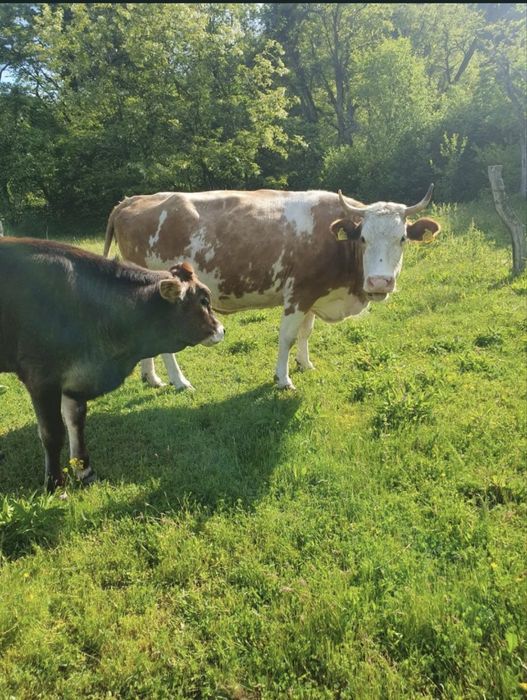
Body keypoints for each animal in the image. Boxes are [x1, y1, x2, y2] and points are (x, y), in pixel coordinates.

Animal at [0, 237, 224, 491]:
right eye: (204, 301)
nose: (221, 330)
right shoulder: (41, 378)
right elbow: (53, 433)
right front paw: (55, 483)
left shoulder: (76, 377)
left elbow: (76, 421)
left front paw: (85, 470)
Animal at [103, 187, 440, 390]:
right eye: (364, 238)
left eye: (402, 238)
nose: (379, 282)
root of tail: (132, 200)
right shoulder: (298, 294)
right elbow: (288, 337)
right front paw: (283, 379)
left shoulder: (314, 293)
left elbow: (305, 333)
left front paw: (306, 364)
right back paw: (179, 380)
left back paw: (152, 377)